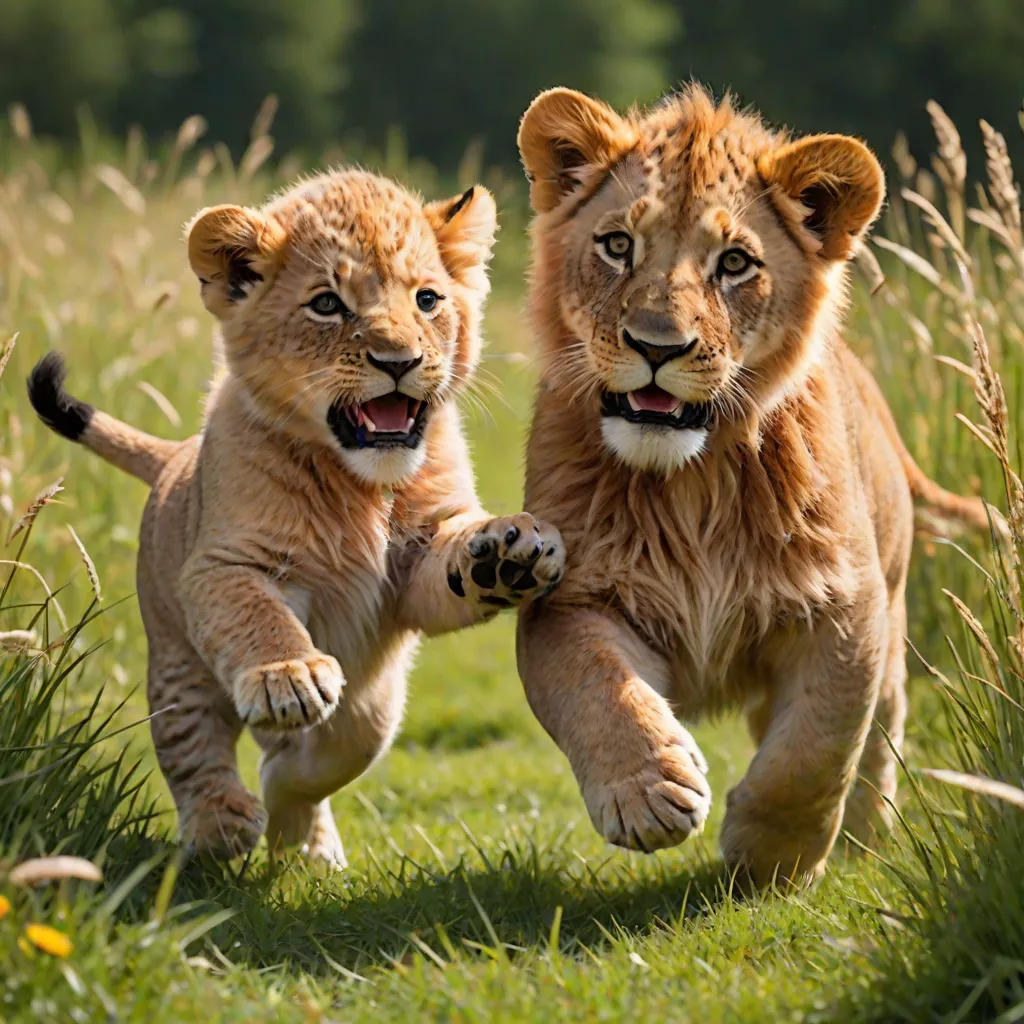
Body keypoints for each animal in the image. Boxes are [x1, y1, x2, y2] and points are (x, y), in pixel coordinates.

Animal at [28, 169, 564, 865]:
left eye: (426, 300)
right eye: (327, 305)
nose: (398, 361)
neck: (361, 486)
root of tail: (175, 454)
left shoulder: (414, 565)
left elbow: (450, 559)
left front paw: (508, 553)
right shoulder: (225, 564)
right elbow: (260, 618)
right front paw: (288, 675)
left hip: (376, 699)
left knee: (336, 744)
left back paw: (307, 842)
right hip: (176, 658)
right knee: (191, 742)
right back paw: (221, 823)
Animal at [514, 85, 996, 889]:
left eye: (735, 263)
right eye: (617, 246)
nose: (656, 346)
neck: (694, 481)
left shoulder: (846, 608)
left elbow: (817, 748)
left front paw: (771, 857)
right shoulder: (571, 596)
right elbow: (600, 686)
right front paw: (650, 791)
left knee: (879, 733)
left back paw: (866, 839)